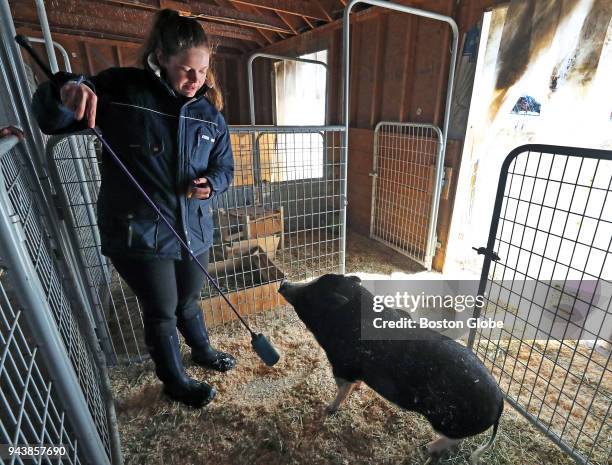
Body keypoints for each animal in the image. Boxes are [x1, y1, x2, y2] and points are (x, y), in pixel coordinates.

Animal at [280, 274, 504, 462]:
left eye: (310, 295)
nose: (283, 283)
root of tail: (500, 401)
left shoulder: (341, 364)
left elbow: (342, 389)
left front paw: (329, 409)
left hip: (448, 422)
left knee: (454, 439)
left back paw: (429, 447)